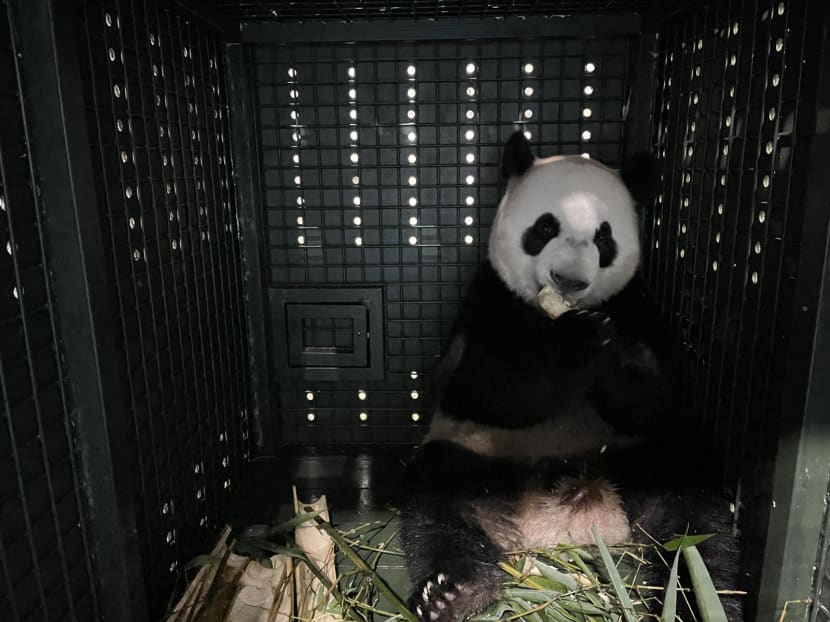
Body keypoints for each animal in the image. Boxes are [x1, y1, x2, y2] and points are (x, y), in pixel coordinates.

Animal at [399, 132, 742, 622]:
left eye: (604, 236)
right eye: (544, 228)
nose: (569, 280)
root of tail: (562, 525)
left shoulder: (637, 303)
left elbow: (659, 397)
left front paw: (611, 349)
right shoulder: (489, 299)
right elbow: (482, 389)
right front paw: (575, 341)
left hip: (641, 457)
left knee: (694, 512)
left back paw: (696, 594)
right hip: (477, 455)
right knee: (438, 506)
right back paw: (453, 591)